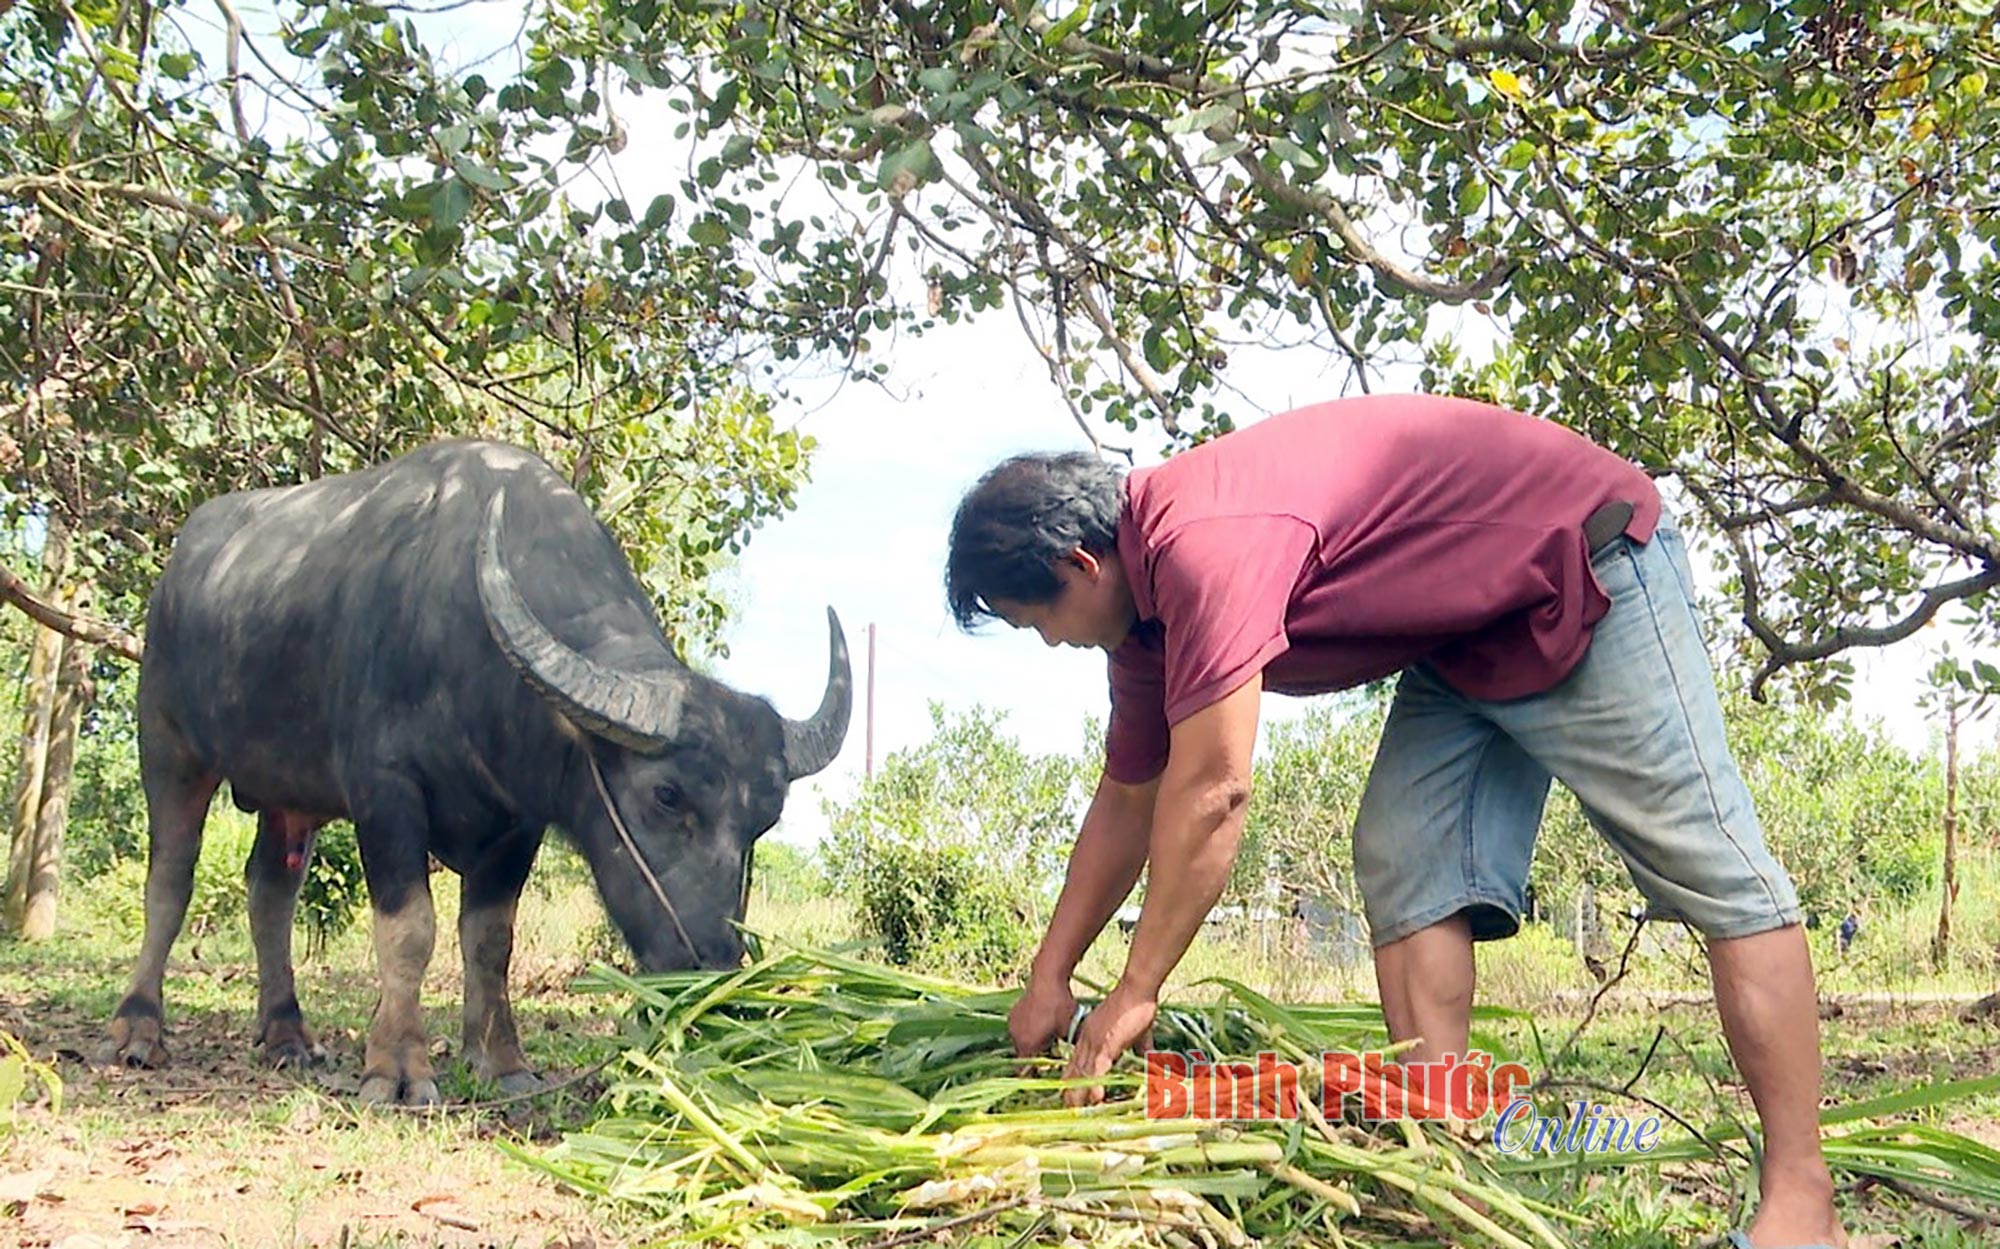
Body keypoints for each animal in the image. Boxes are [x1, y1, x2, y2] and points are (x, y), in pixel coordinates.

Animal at [101, 438, 852, 1104]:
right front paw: (398, 1068)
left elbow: (490, 939)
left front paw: (502, 1061)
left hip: (290, 794)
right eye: (666, 794)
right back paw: (138, 1027)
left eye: (765, 819)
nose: (713, 967)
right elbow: (410, 931)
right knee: (170, 877)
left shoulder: (518, 820)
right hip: (167, 743)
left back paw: (287, 1034)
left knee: (270, 891)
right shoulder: (385, 793)